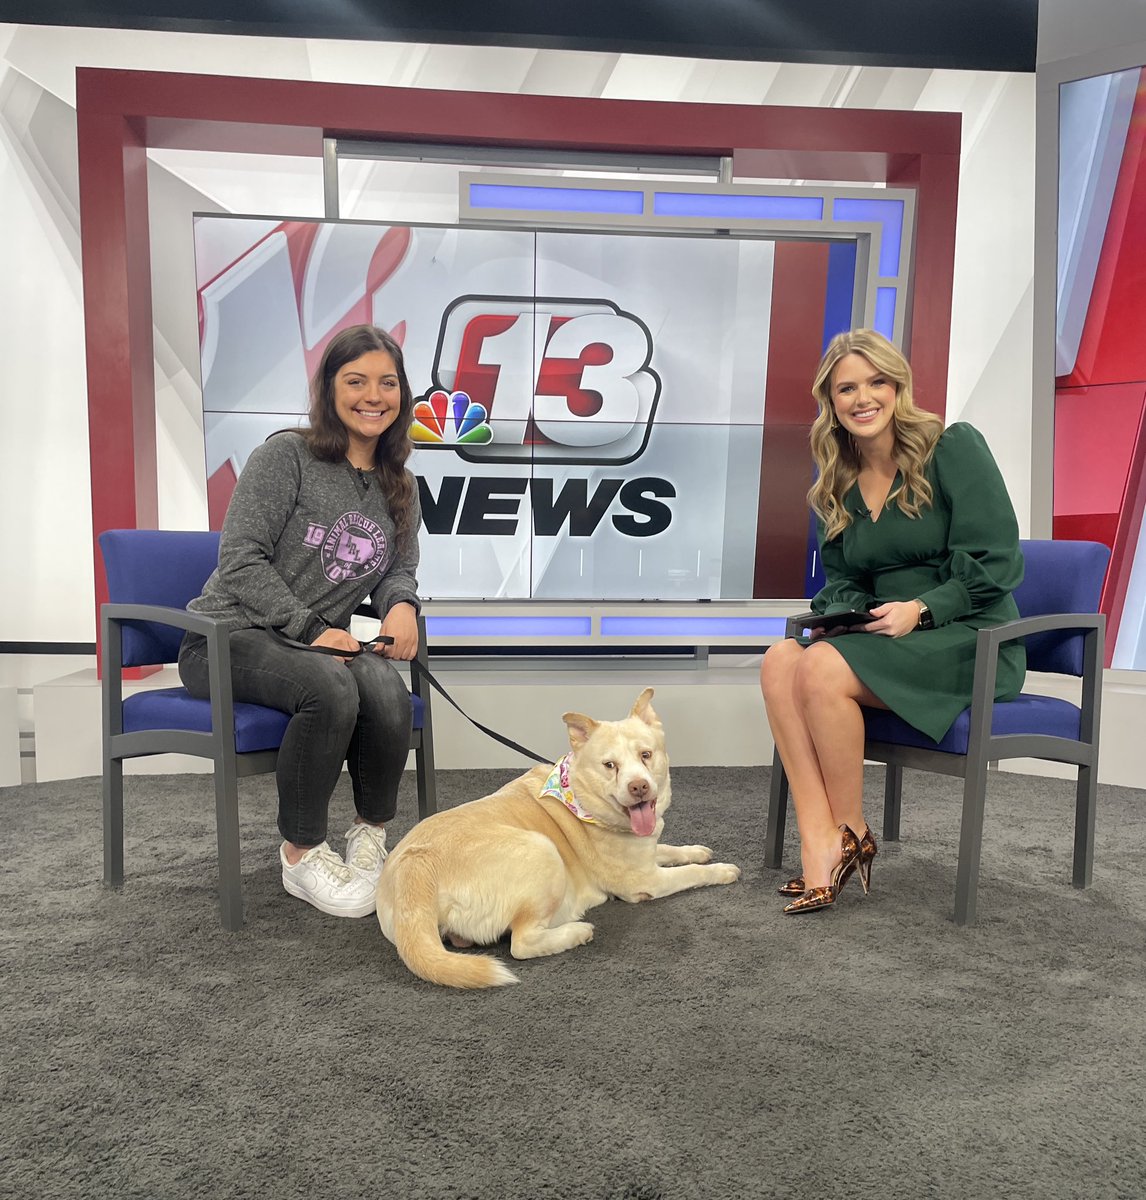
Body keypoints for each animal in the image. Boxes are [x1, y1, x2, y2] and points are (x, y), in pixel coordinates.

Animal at [376, 691, 744, 988]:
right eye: (610, 765)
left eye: (646, 755)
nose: (638, 786)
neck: (582, 795)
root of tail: (414, 870)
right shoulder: (644, 881)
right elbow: (691, 874)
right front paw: (723, 870)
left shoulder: (647, 851)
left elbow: (670, 849)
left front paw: (696, 849)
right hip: (543, 851)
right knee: (521, 944)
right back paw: (575, 932)